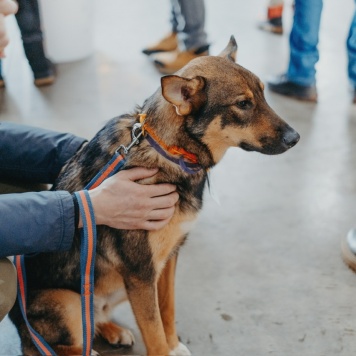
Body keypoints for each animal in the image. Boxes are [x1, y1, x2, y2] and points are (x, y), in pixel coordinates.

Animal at [9, 37, 298, 354]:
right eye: (243, 104)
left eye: (263, 94)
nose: (295, 138)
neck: (170, 151)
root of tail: (17, 321)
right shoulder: (141, 273)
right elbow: (154, 329)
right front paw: (166, 347)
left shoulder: (167, 261)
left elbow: (167, 311)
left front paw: (174, 345)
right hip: (69, 301)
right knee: (58, 345)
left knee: (94, 319)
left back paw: (112, 330)